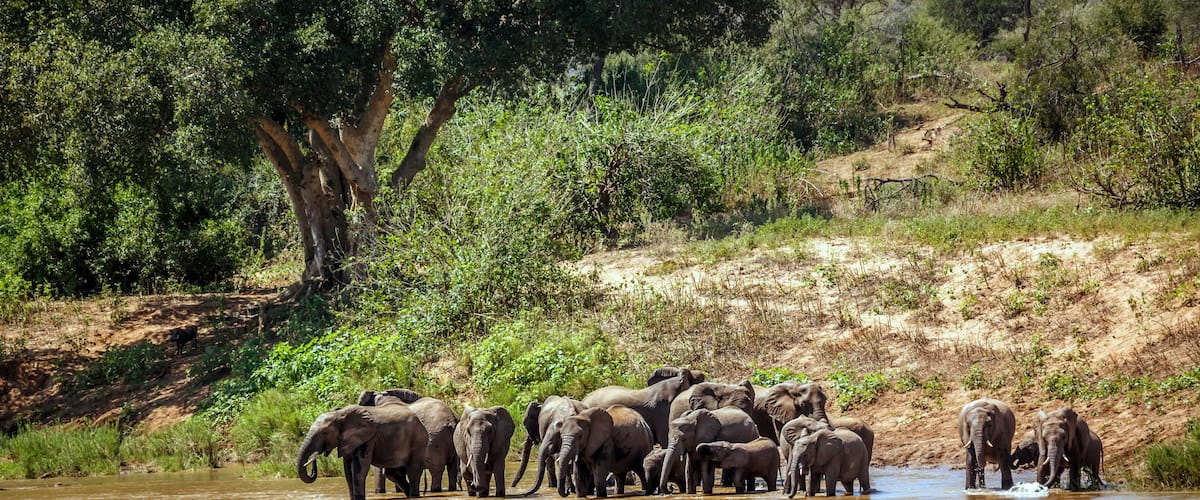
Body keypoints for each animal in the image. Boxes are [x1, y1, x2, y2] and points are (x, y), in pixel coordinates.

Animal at [297, 404, 428, 500]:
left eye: (325, 432)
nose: (314, 456)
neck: (340, 414)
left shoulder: (368, 438)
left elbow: (359, 469)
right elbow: (348, 471)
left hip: (418, 442)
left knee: (413, 471)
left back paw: (414, 495)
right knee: (392, 473)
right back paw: (409, 494)